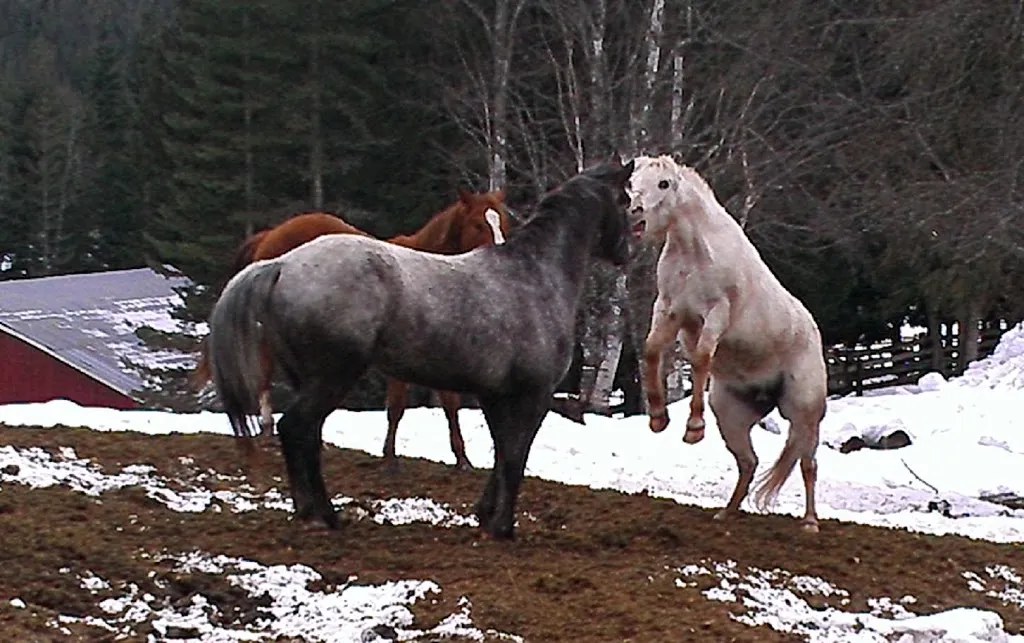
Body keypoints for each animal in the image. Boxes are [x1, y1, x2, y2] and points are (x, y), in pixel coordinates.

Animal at [191, 189, 511, 471]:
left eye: (503, 222)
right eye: (478, 223)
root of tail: (270, 234)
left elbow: (450, 404)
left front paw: (462, 458)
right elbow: (396, 406)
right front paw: (389, 458)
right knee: (264, 368)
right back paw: (269, 427)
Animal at [627, 154, 827, 532]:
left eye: (664, 183)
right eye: (633, 181)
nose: (635, 213)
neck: (696, 252)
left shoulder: (717, 313)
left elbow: (702, 357)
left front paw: (693, 429)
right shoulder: (669, 312)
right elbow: (651, 350)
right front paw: (658, 417)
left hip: (804, 413)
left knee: (807, 464)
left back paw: (810, 522)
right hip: (731, 414)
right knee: (749, 462)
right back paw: (727, 512)